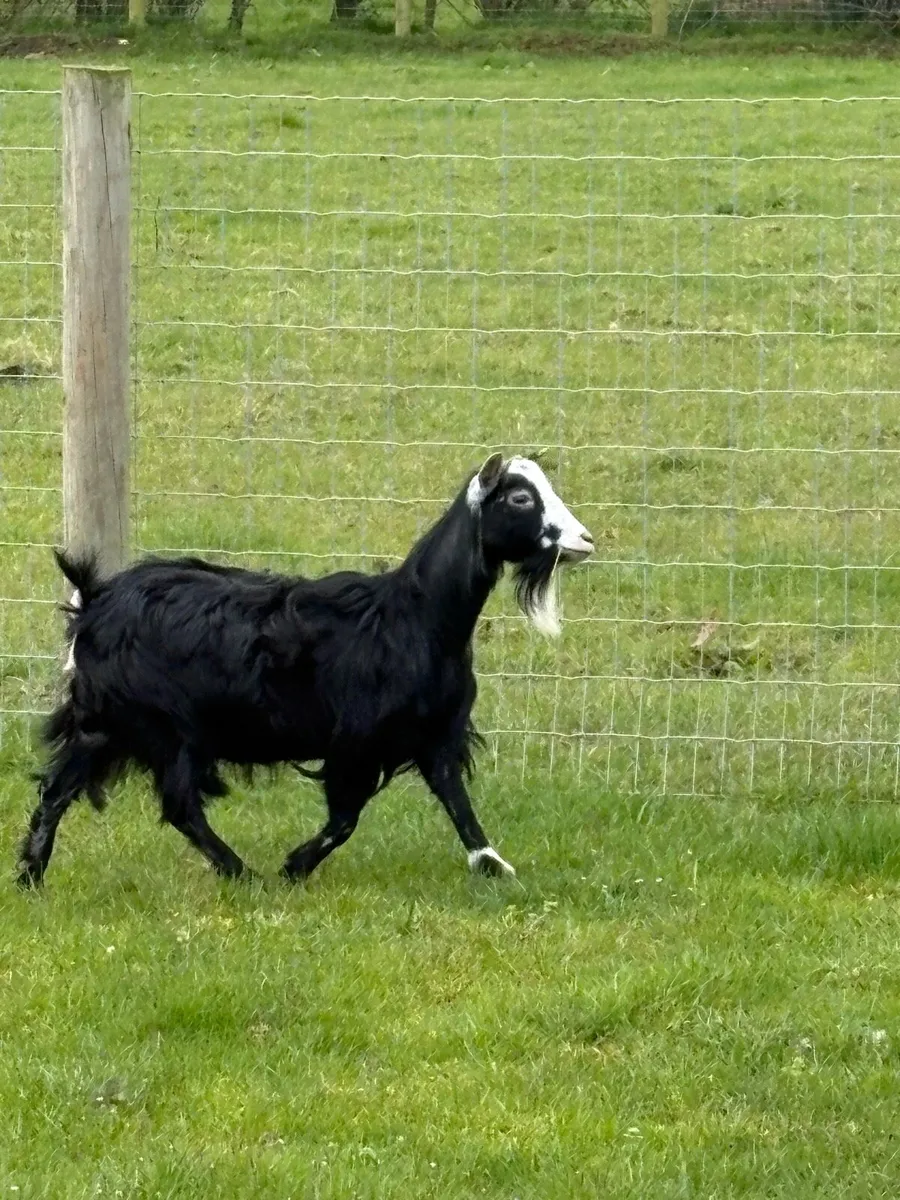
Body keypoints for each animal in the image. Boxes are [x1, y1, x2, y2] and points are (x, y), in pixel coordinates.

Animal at [17, 454, 593, 888]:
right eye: (521, 498)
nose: (585, 540)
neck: (415, 616)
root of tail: (95, 599)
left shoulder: (434, 734)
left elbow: (456, 800)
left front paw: (493, 865)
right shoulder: (356, 742)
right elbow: (345, 820)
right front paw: (294, 867)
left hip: (104, 723)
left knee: (57, 789)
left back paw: (30, 877)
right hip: (166, 728)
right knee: (179, 805)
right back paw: (241, 873)